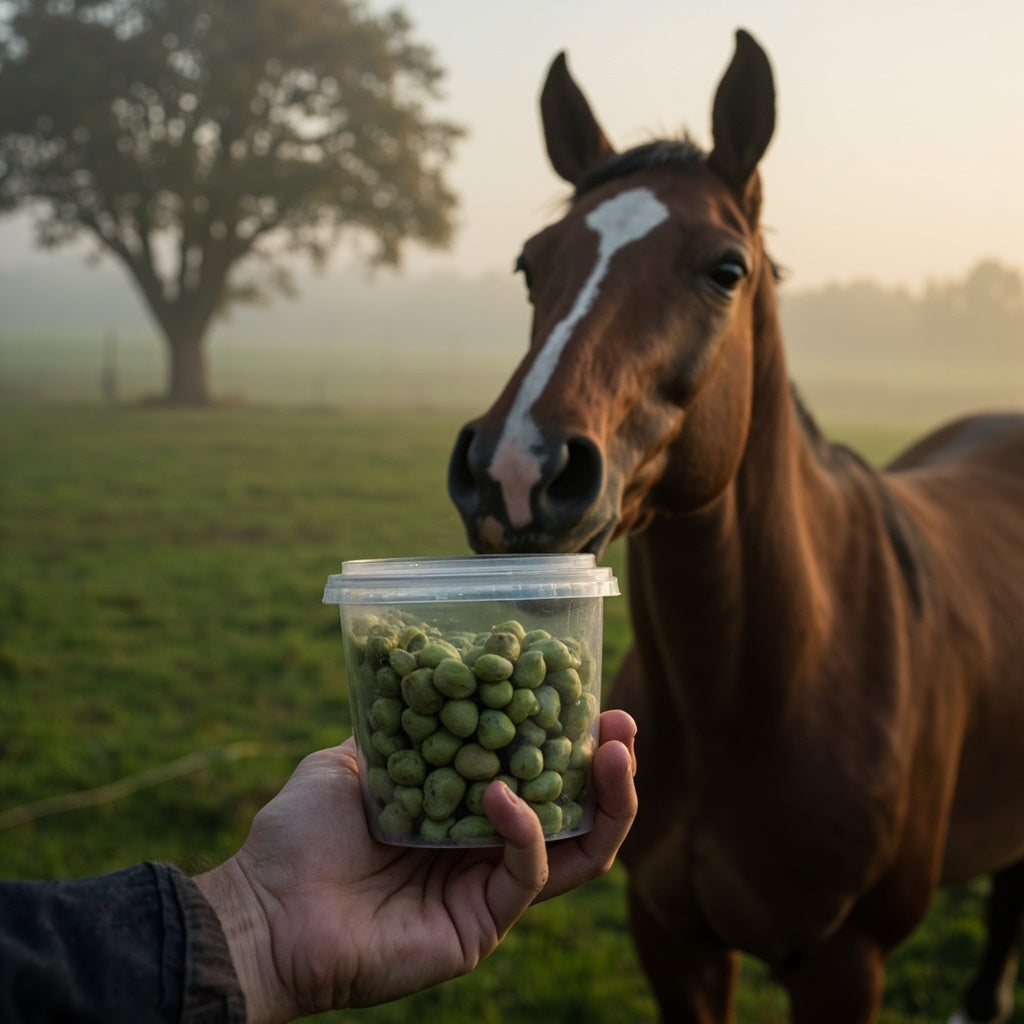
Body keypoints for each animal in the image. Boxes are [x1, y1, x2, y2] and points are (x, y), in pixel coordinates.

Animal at [447, 28, 1024, 1024]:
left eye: (727, 270)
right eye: (530, 264)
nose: (515, 471)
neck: (759, 695)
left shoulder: (843, 963)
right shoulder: (670, 939)